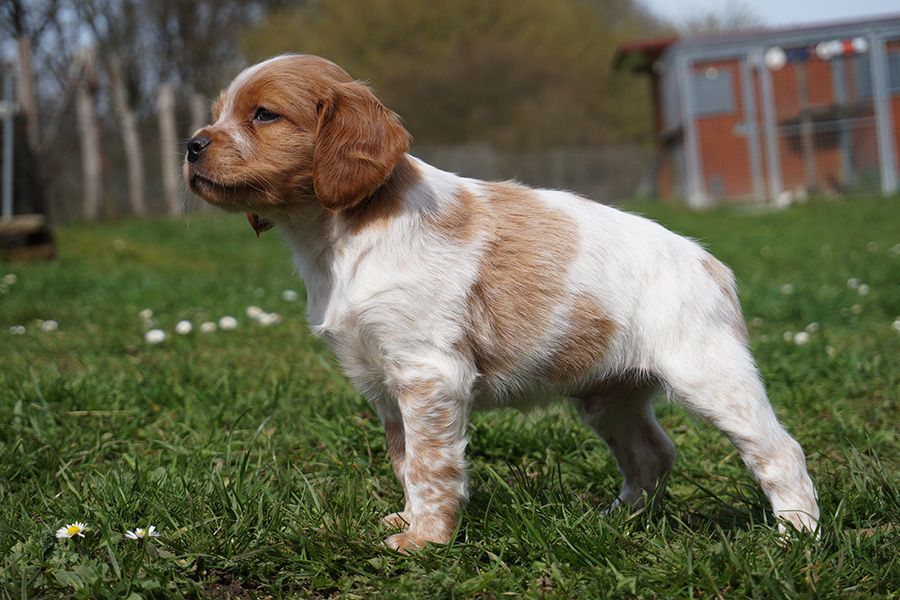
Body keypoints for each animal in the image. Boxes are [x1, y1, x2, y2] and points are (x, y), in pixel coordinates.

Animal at [186, 54, 820, 552]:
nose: (191, 145)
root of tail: (710, 263)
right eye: (217, 113)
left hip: (710, 376)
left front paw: (425, 541)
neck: (337, 240)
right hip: (608, 396)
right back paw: (615, 521)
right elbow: (406, 460)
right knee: (651, 454)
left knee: (779, 450)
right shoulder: (386, 386)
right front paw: (409, 521)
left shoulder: (428, 373)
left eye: (263, 115)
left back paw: (798, 537)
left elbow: (431, 463)